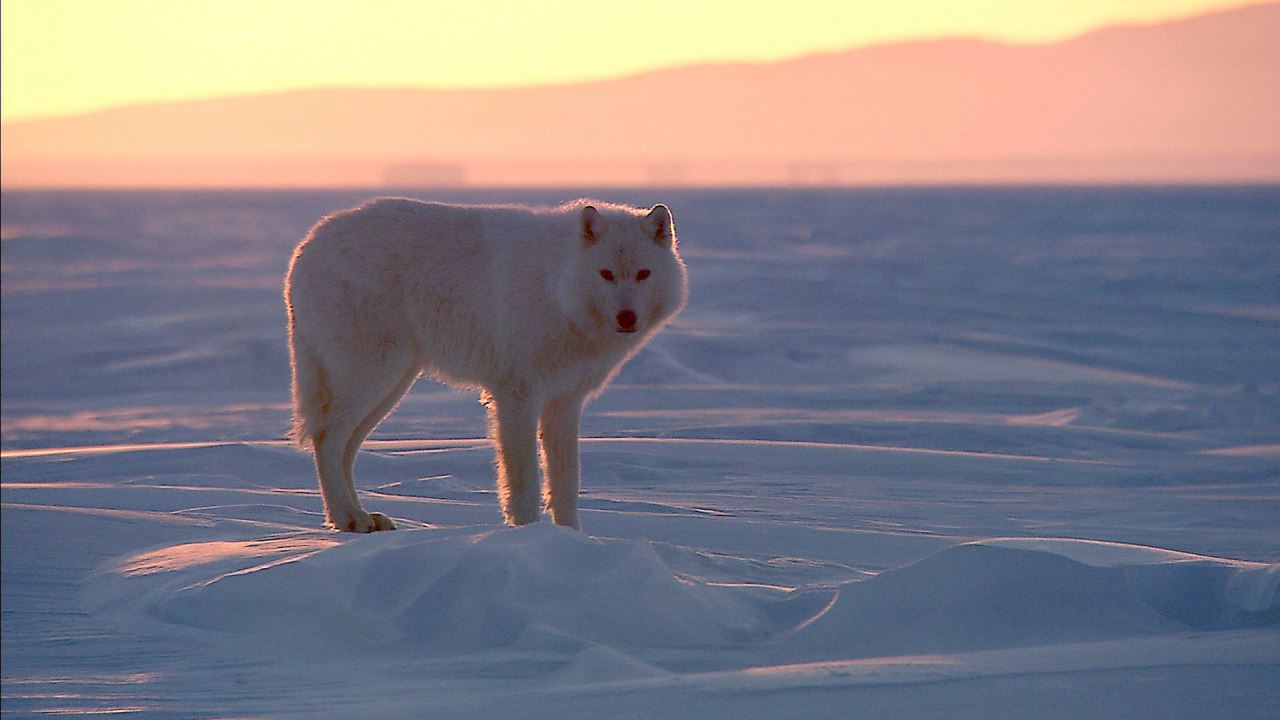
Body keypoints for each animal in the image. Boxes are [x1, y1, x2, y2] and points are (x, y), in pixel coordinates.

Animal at [288, 196, 691, 527]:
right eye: (606, 274)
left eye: (643, 274)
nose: (627, 317)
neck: (557, 288)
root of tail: (306, 247)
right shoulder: (517, 396)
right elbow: (524, 480)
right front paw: (530, 535)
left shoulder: (564, 401)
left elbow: (566, 481)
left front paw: (571, 539)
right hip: (376, 376)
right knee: (326, 438)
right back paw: (347, 517)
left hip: (391, 386)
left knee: (345, 450)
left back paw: (357, 518)